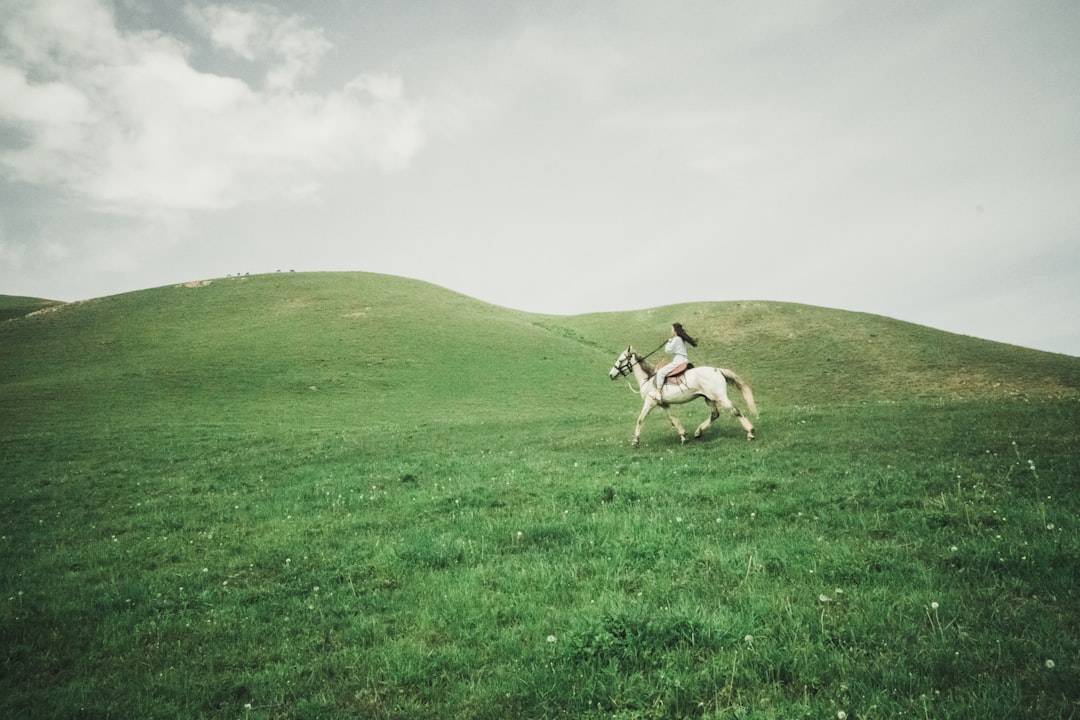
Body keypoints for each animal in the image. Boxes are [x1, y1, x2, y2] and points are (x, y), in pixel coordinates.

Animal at [609, 347, 760, 446]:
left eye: (620, 360)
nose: (611, 375)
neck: (649, 379)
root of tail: (718, 370)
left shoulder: (650, 402)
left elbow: (640, 419)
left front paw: (635, 440)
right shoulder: (664, 404)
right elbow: (674, 420)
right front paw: (683, 436)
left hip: (720, 398)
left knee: (736, 411)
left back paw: (750, 432)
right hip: (709, 399)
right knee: (715, 414)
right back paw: (698, 432)